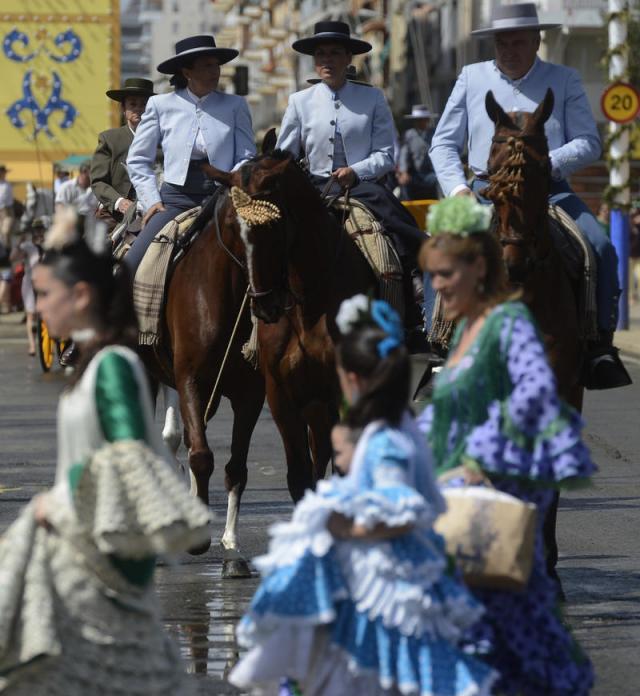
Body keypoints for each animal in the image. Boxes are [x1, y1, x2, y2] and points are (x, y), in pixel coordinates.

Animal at [141, 182, 266, 572]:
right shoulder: (190, 381)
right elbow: (200, 455)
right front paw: (197, 537)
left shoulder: (250, 394)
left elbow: (236, 467)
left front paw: (231, 549)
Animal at [212, 152, 378, 500]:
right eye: (233, 227)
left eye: (273, 224)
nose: (264, 304)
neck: (309, 308)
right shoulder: (282, 397)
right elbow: (299, 475)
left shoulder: (343, 395)